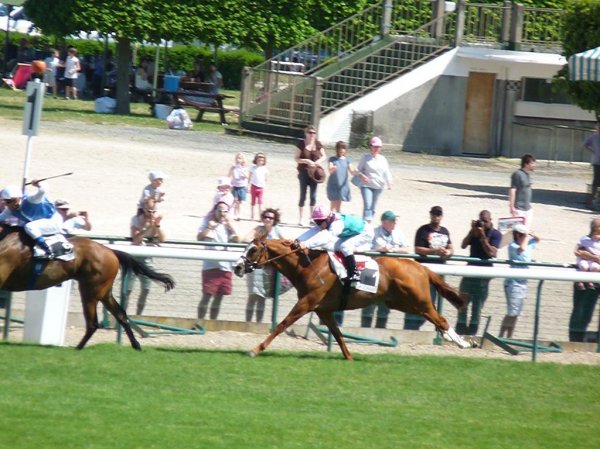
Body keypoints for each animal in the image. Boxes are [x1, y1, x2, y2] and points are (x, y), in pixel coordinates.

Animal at [0, 226, 173, 348]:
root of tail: (111, 251)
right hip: (104, 292)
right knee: (121, 315)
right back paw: (136, 345)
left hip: (90, 291)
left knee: (93, 323)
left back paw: (77, 348)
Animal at [236, 236, 474, 358]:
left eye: (253, 250)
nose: (237, 267)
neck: (308, 266)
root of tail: (422, 267)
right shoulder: (323, 309)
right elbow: (338, 334)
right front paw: (349, 357)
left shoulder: (307, 302)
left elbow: (282, 324)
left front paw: (255, 350)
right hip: (402, 303)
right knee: (435, 318)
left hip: (419, 301)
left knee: (441, 319)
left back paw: (461, 342)